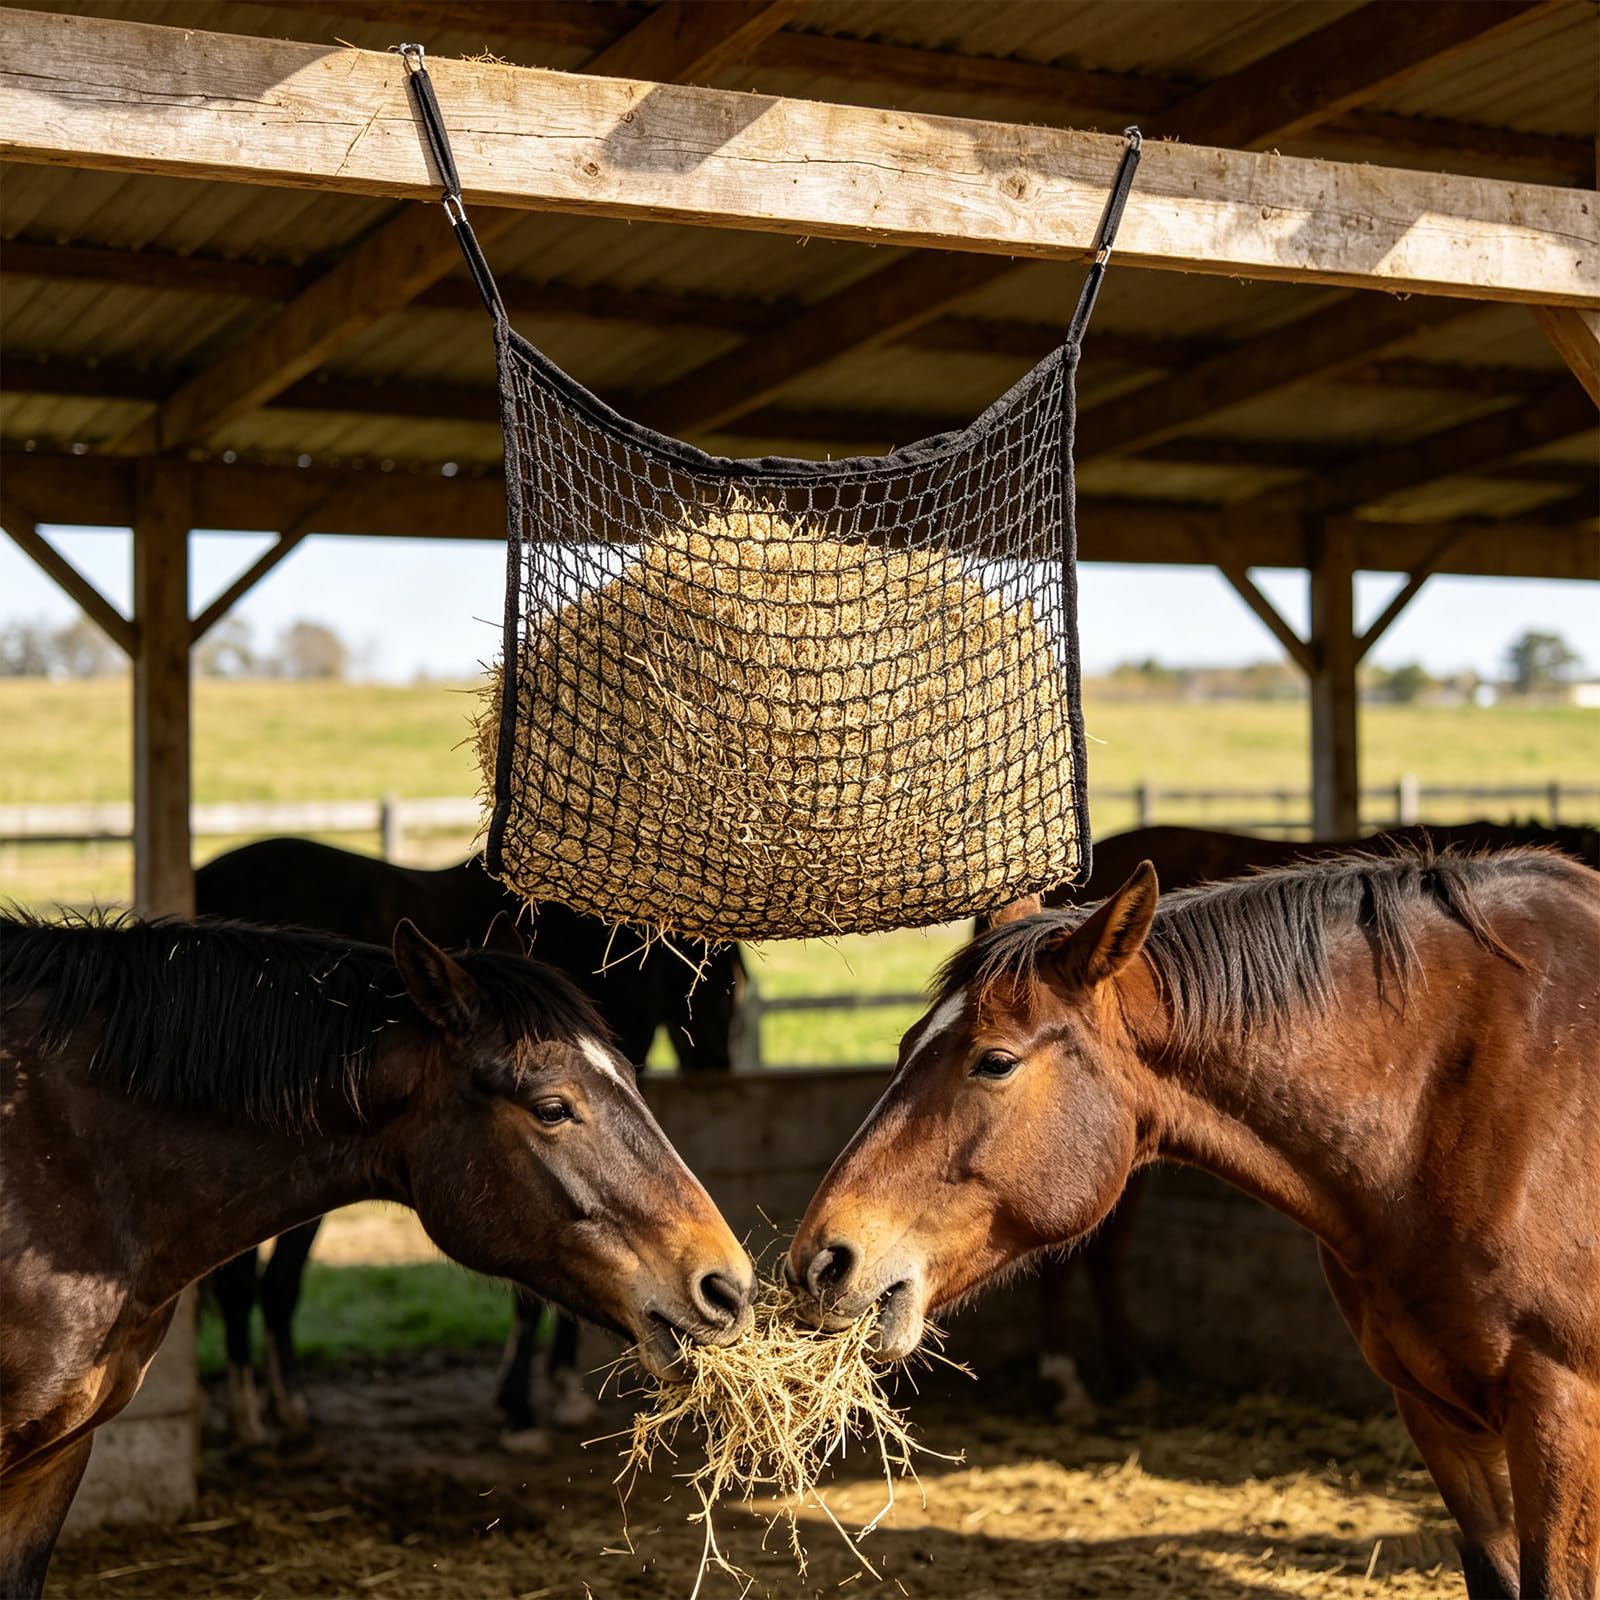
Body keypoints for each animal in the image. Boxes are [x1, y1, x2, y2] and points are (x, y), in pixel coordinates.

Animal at [193, 836, 743, 1446]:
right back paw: (257, 1412)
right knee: (256, 1283)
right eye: (719, 991)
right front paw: (524, 1407)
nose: (721, 1071)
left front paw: (555, 1391)